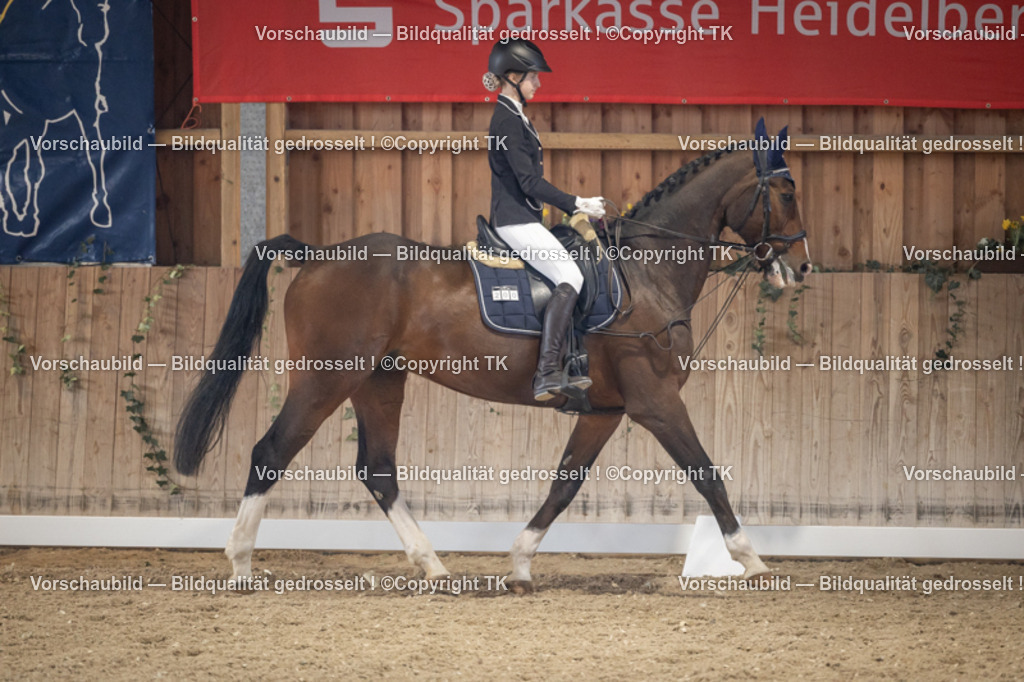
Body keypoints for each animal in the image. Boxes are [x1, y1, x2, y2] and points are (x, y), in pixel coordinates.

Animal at [173, 121, 810, 592]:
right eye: (785, 193)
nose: (801, 267)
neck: (646, 274)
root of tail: (320, 254)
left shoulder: (606, 410)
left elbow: (564, 484)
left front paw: (521, 562)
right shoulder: (654, 401)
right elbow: (707, 473)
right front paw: (751, 559)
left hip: (379, 380)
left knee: (378, 470)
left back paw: (433, 566)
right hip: (325, 379)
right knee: (270, 452)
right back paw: (240, 563)